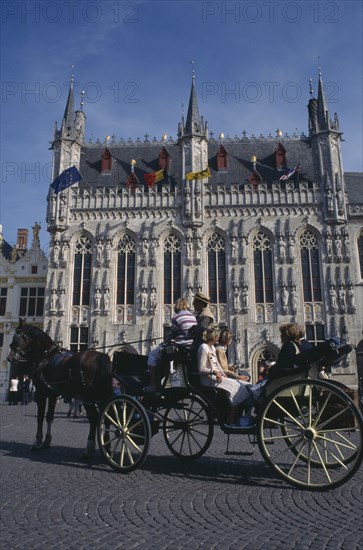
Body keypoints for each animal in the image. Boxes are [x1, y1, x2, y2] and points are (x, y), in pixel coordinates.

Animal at [7, 320, 114, 458]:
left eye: (18, 337)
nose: (10, 358)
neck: (45, 356)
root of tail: (101, 356)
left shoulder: (41, 393)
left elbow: (40, 417)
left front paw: (37, 443)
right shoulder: (52, 393)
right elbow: (49, 416)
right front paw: (47, 441)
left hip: (88, 396)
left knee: (95, 417)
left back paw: (88, 449)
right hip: (101, 396)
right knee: (106, 417)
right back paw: (107, 447)